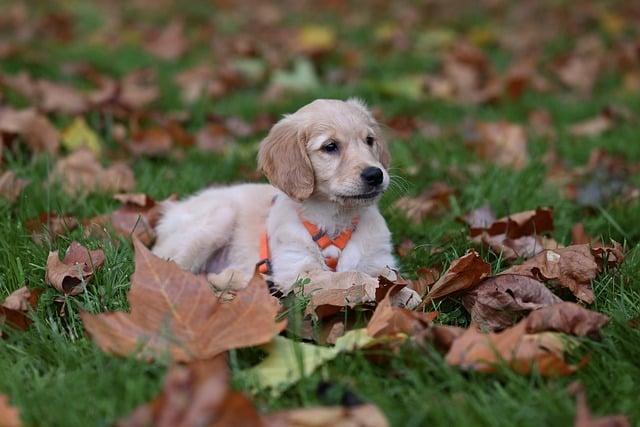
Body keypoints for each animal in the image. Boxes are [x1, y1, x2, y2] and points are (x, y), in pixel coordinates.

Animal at [153, 99, 422, 308]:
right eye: (330, 146)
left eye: (369, 140)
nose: (375, 175)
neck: (335, 218)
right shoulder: (298, 272)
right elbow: (350, 275)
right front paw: (376, 288)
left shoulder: (378, 258)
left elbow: (387, 275)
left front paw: (404, 293)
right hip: (218, 217)